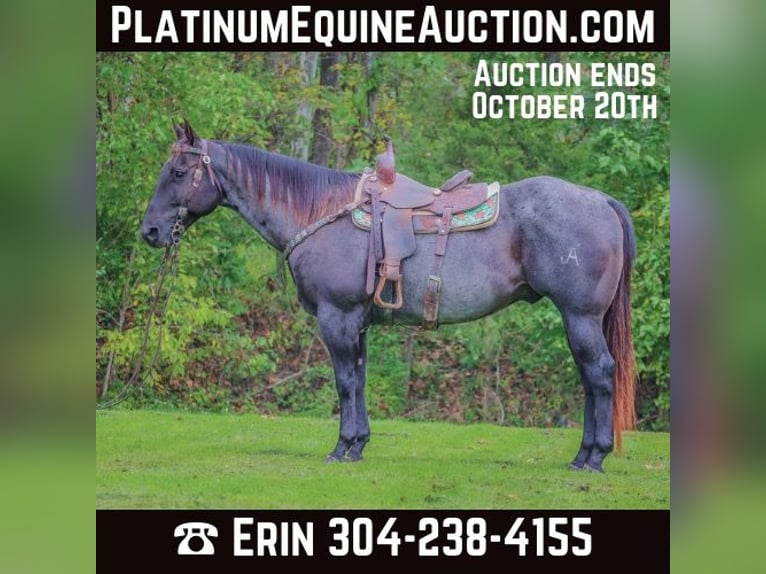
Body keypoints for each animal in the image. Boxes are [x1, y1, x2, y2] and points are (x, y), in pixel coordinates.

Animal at [141, 120, 637, 473]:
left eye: (179, 172)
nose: (150, 231)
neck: (321, 212)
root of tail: (602, 200)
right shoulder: (355, 322)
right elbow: (359, 381)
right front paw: (358, 444)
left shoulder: (336, 318)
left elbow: (344, 382)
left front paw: (341, 447)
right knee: (590, 378)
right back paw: (583, 454)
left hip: (580, 316)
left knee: (599, 374)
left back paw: (594, 457)